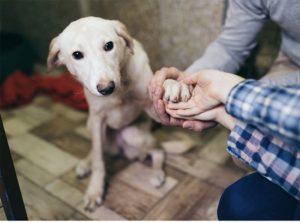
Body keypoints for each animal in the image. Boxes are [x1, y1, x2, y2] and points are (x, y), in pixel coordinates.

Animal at [48, 16, 191, 211]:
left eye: (109, 45)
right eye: (77, 55)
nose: (106, 88)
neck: (121, 88)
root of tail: (123, 149)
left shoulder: (153, 108)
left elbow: (162, 84)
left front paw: (173, 84)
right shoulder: (97, 120)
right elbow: (98, 160)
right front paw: (95, 190)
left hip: (134, 135)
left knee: (159, 150)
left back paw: (157, 173)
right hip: (92, 126)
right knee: (97, 150)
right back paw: (86, 163)